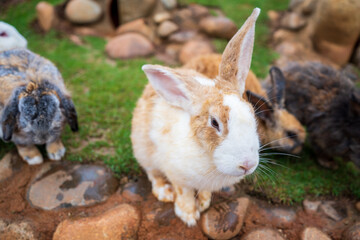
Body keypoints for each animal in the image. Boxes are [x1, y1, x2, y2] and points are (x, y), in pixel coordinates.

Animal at [131, 8, 260, 226]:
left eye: (252, 114)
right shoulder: (176, 173)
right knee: (153, 173)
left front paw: (204, 203)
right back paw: (164, 192)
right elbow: (183, 192)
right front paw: (188, 215)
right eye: (214, 122)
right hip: (143, 150)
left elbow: (205, 190)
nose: (247, 165)